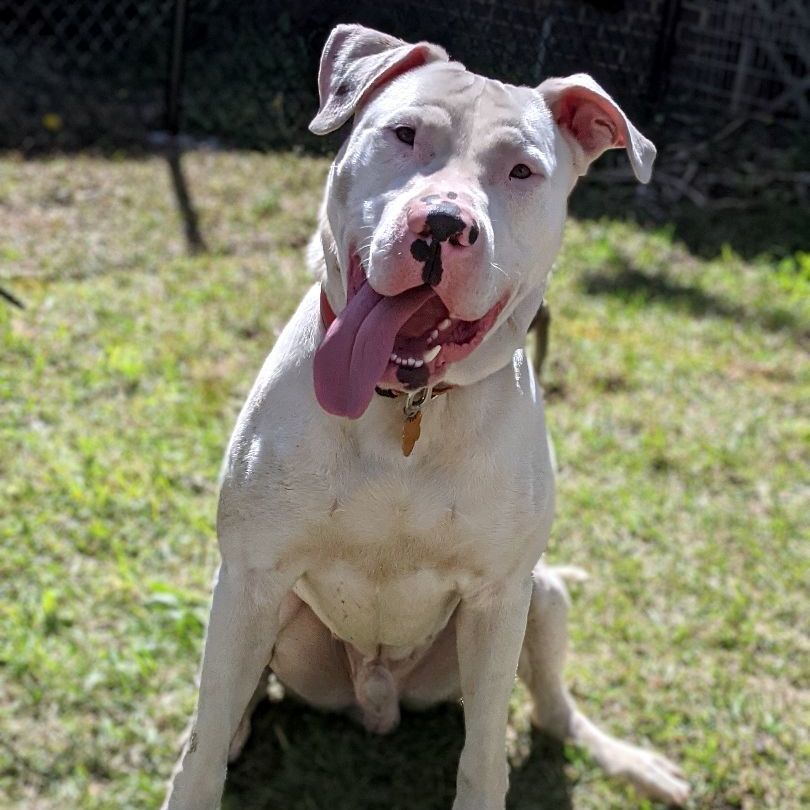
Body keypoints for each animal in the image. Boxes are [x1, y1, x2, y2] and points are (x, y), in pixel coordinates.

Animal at [164, 25, 688, 808]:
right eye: (405, 134)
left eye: (522, 171)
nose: (442, 223)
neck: (406, 406)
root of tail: (376, 700)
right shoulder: (251, 574)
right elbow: (200, 754)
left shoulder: (500, 600)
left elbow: (484, 755)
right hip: (261, 611)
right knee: (231, 707)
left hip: (544, 595)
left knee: (555, 713)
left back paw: (627, 759)